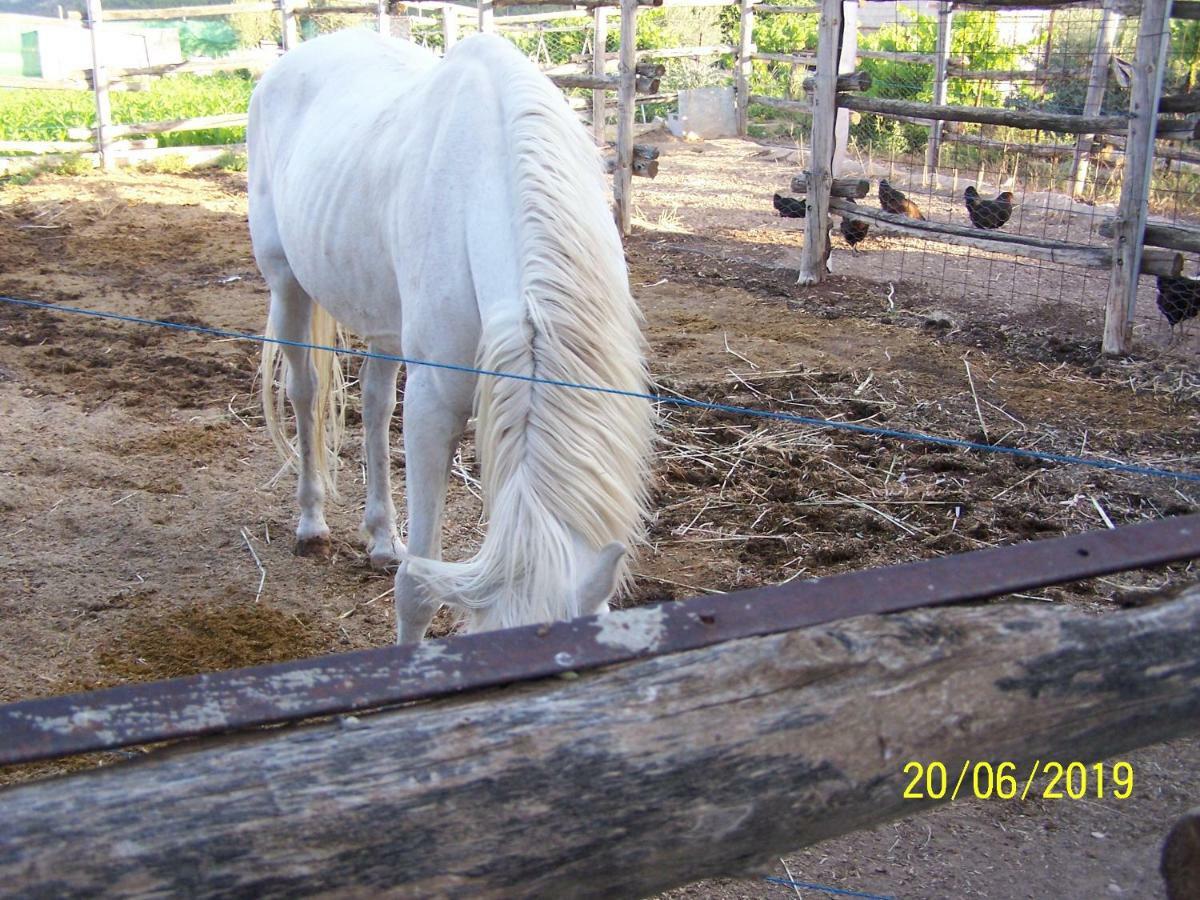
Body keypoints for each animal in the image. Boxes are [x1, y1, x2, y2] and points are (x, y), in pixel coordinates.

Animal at [247, 30, 652, 643]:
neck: (486, 182)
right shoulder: (435, 405)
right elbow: (417, 589)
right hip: (286, 283)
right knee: (306, 391)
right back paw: (311, 523)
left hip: (384, 320)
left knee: (374, 402)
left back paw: (382, 538)